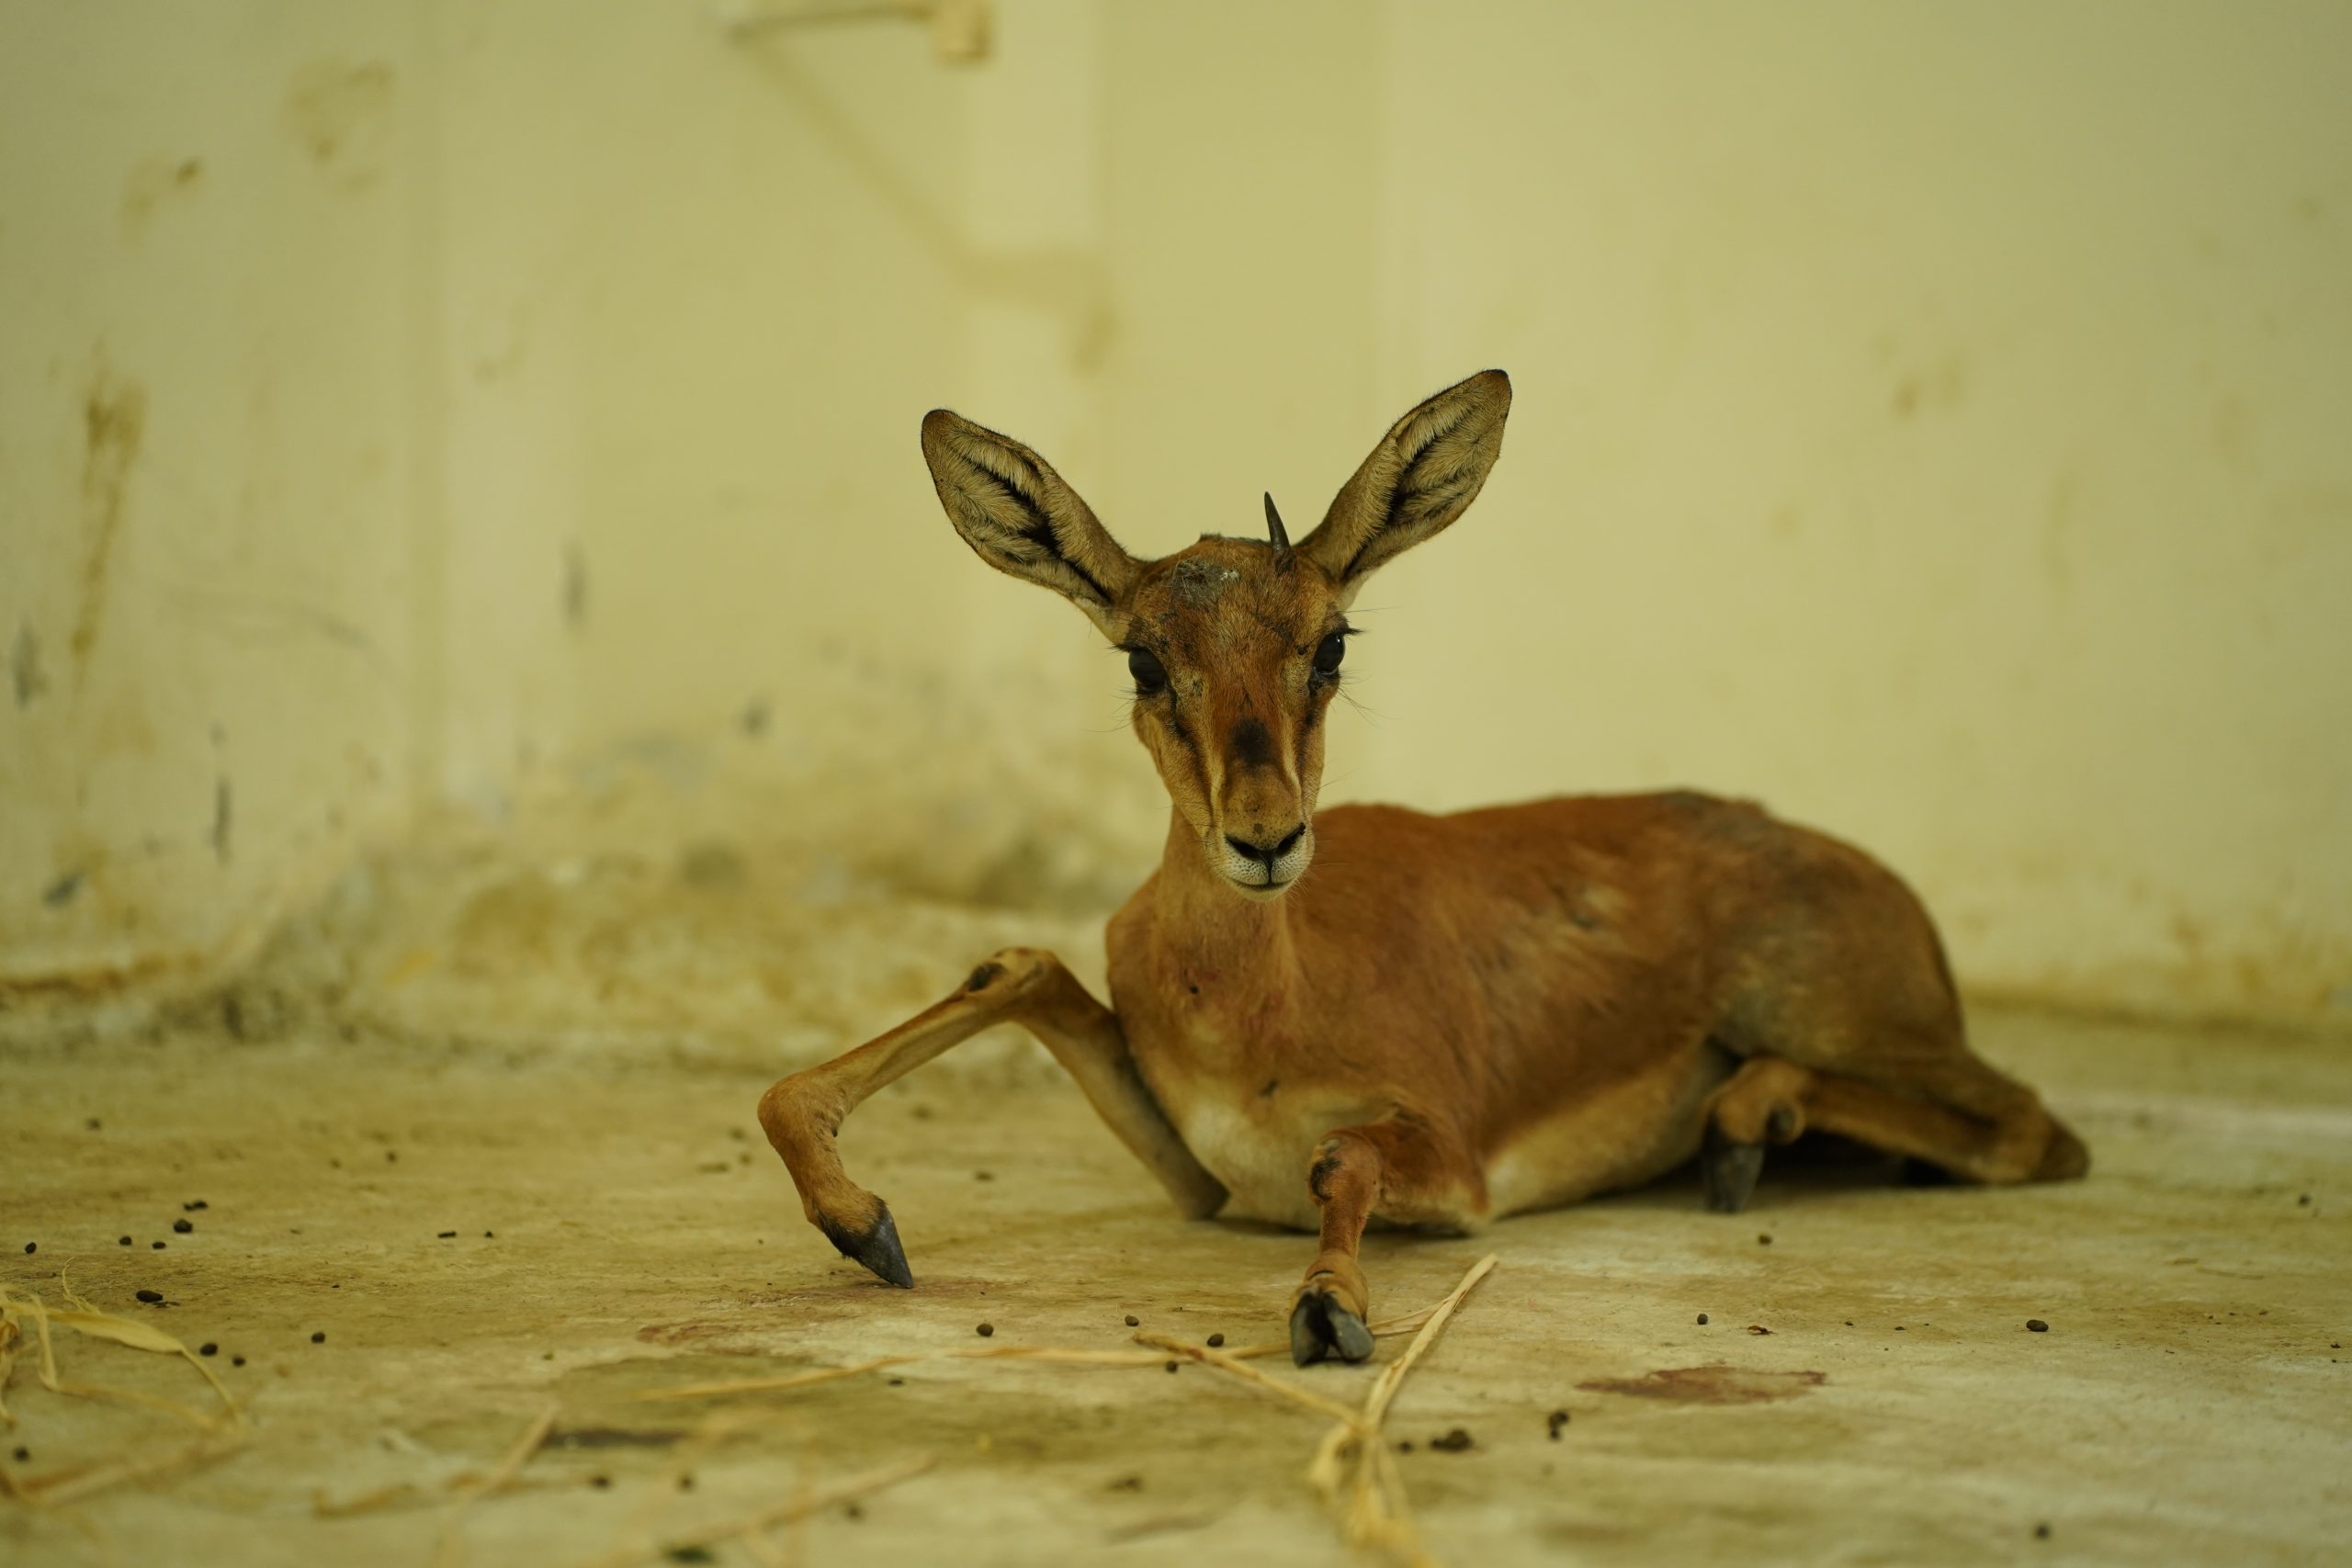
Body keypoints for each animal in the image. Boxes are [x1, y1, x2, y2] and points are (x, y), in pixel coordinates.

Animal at [757, 373, 2098, 1363]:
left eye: (1332, 639)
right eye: (1142, 655)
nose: (1264, 834)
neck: (1251, 1001)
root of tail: (1876, 883)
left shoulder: (1445, 1161)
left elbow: (1341, 1154)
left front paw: (1330, 1308)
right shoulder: (1195, 1169)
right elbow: (1015, 968)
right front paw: (864, 1223)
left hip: (1849, 1020)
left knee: (2040, 1133)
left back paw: (1741, 1126)